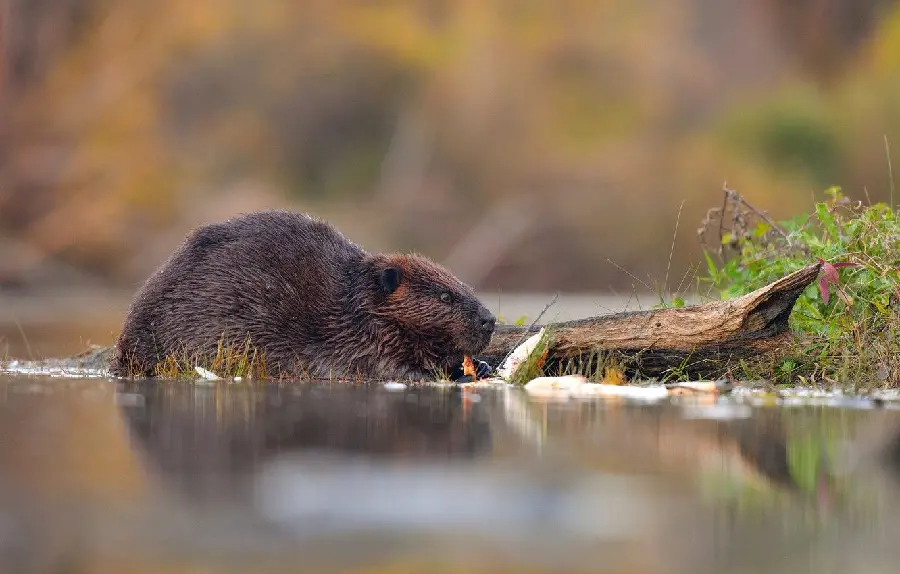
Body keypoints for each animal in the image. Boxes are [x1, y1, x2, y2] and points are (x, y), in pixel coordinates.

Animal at [110, 212, 500, 382]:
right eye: (444, 296)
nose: (489, 320)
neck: (353, 303)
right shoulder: (359, 340)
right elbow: (389, 367)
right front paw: (446, 373)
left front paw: (479, 365)